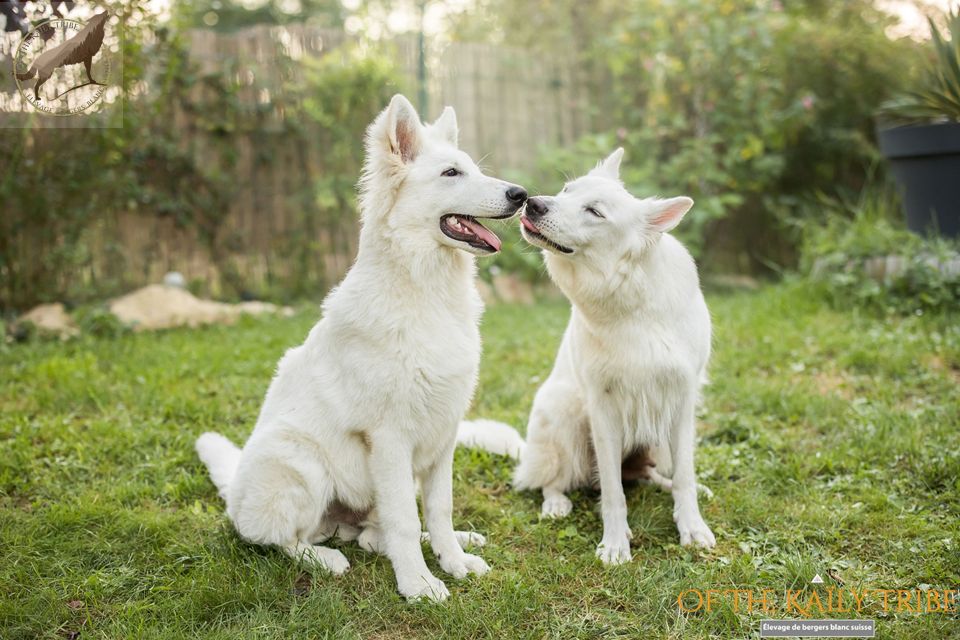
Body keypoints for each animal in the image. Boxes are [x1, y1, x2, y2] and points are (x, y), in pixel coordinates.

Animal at [194, 94, 524, 600]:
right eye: (451, 173)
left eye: (472, 168)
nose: (521, 195)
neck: (426, 292)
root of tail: (234, 496)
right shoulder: (389, 439)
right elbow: (403, 520)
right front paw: (418, 585)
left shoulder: (444, 434)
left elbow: (439, 509)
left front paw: (453, 560)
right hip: (302, 463)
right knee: (283, 539)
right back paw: (325, 559)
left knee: (371, 535)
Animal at [502, 148, 712, 564]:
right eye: (567, 191)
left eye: (595, 212)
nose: (532, 203)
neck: (634, 305)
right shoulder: (603, 410)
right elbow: (613, 491)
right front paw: (615, 543)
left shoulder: (681, 402)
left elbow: (684, 475)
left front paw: (692, 527)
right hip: (565, 413)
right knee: (552, 479)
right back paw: (555, 503)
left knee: (656, 475)